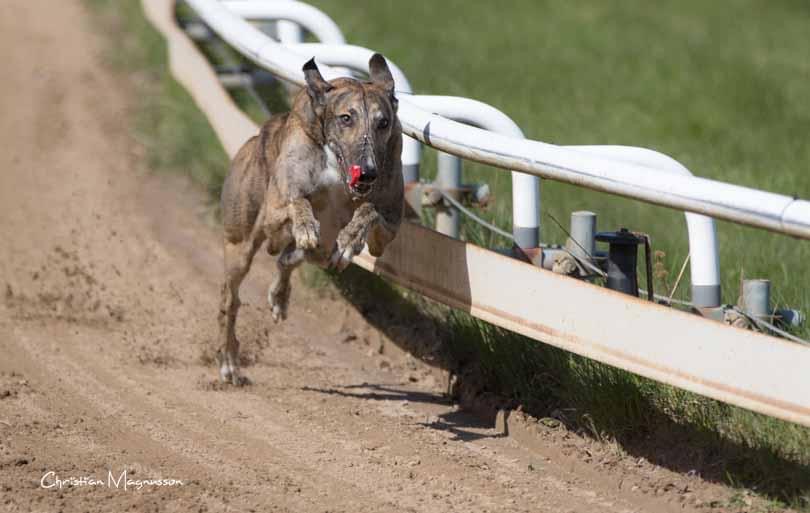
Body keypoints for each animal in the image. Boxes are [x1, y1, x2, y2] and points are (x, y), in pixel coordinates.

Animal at [216, 54, 402, 382]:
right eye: (346, 118)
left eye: (384, 122)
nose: (368, 172)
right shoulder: (276, 210)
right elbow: (297, 201)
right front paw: (304, 224)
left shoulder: (389, 226)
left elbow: (370, 211)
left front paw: (350, 239)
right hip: (240, 244)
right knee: (231, 298)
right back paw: (229, 362)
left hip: (320, 252)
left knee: (290, 259)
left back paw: (280, 295)